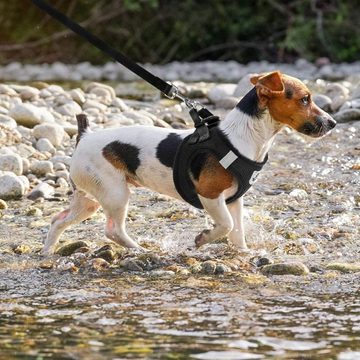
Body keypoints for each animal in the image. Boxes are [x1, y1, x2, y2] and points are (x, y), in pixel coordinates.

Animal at [40, 71, 336, 256]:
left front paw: (243, 253)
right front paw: (203, 239)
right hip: (116, 194)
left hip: (88, 199)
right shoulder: (210, 196)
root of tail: (85, 136)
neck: (245, 136)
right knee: (112, 230)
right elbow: (226, 225)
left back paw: (47, 251)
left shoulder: (235, 200)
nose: (333, 123)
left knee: (58, 220)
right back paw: (139, 249)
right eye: (305, 99)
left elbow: (237, 231)